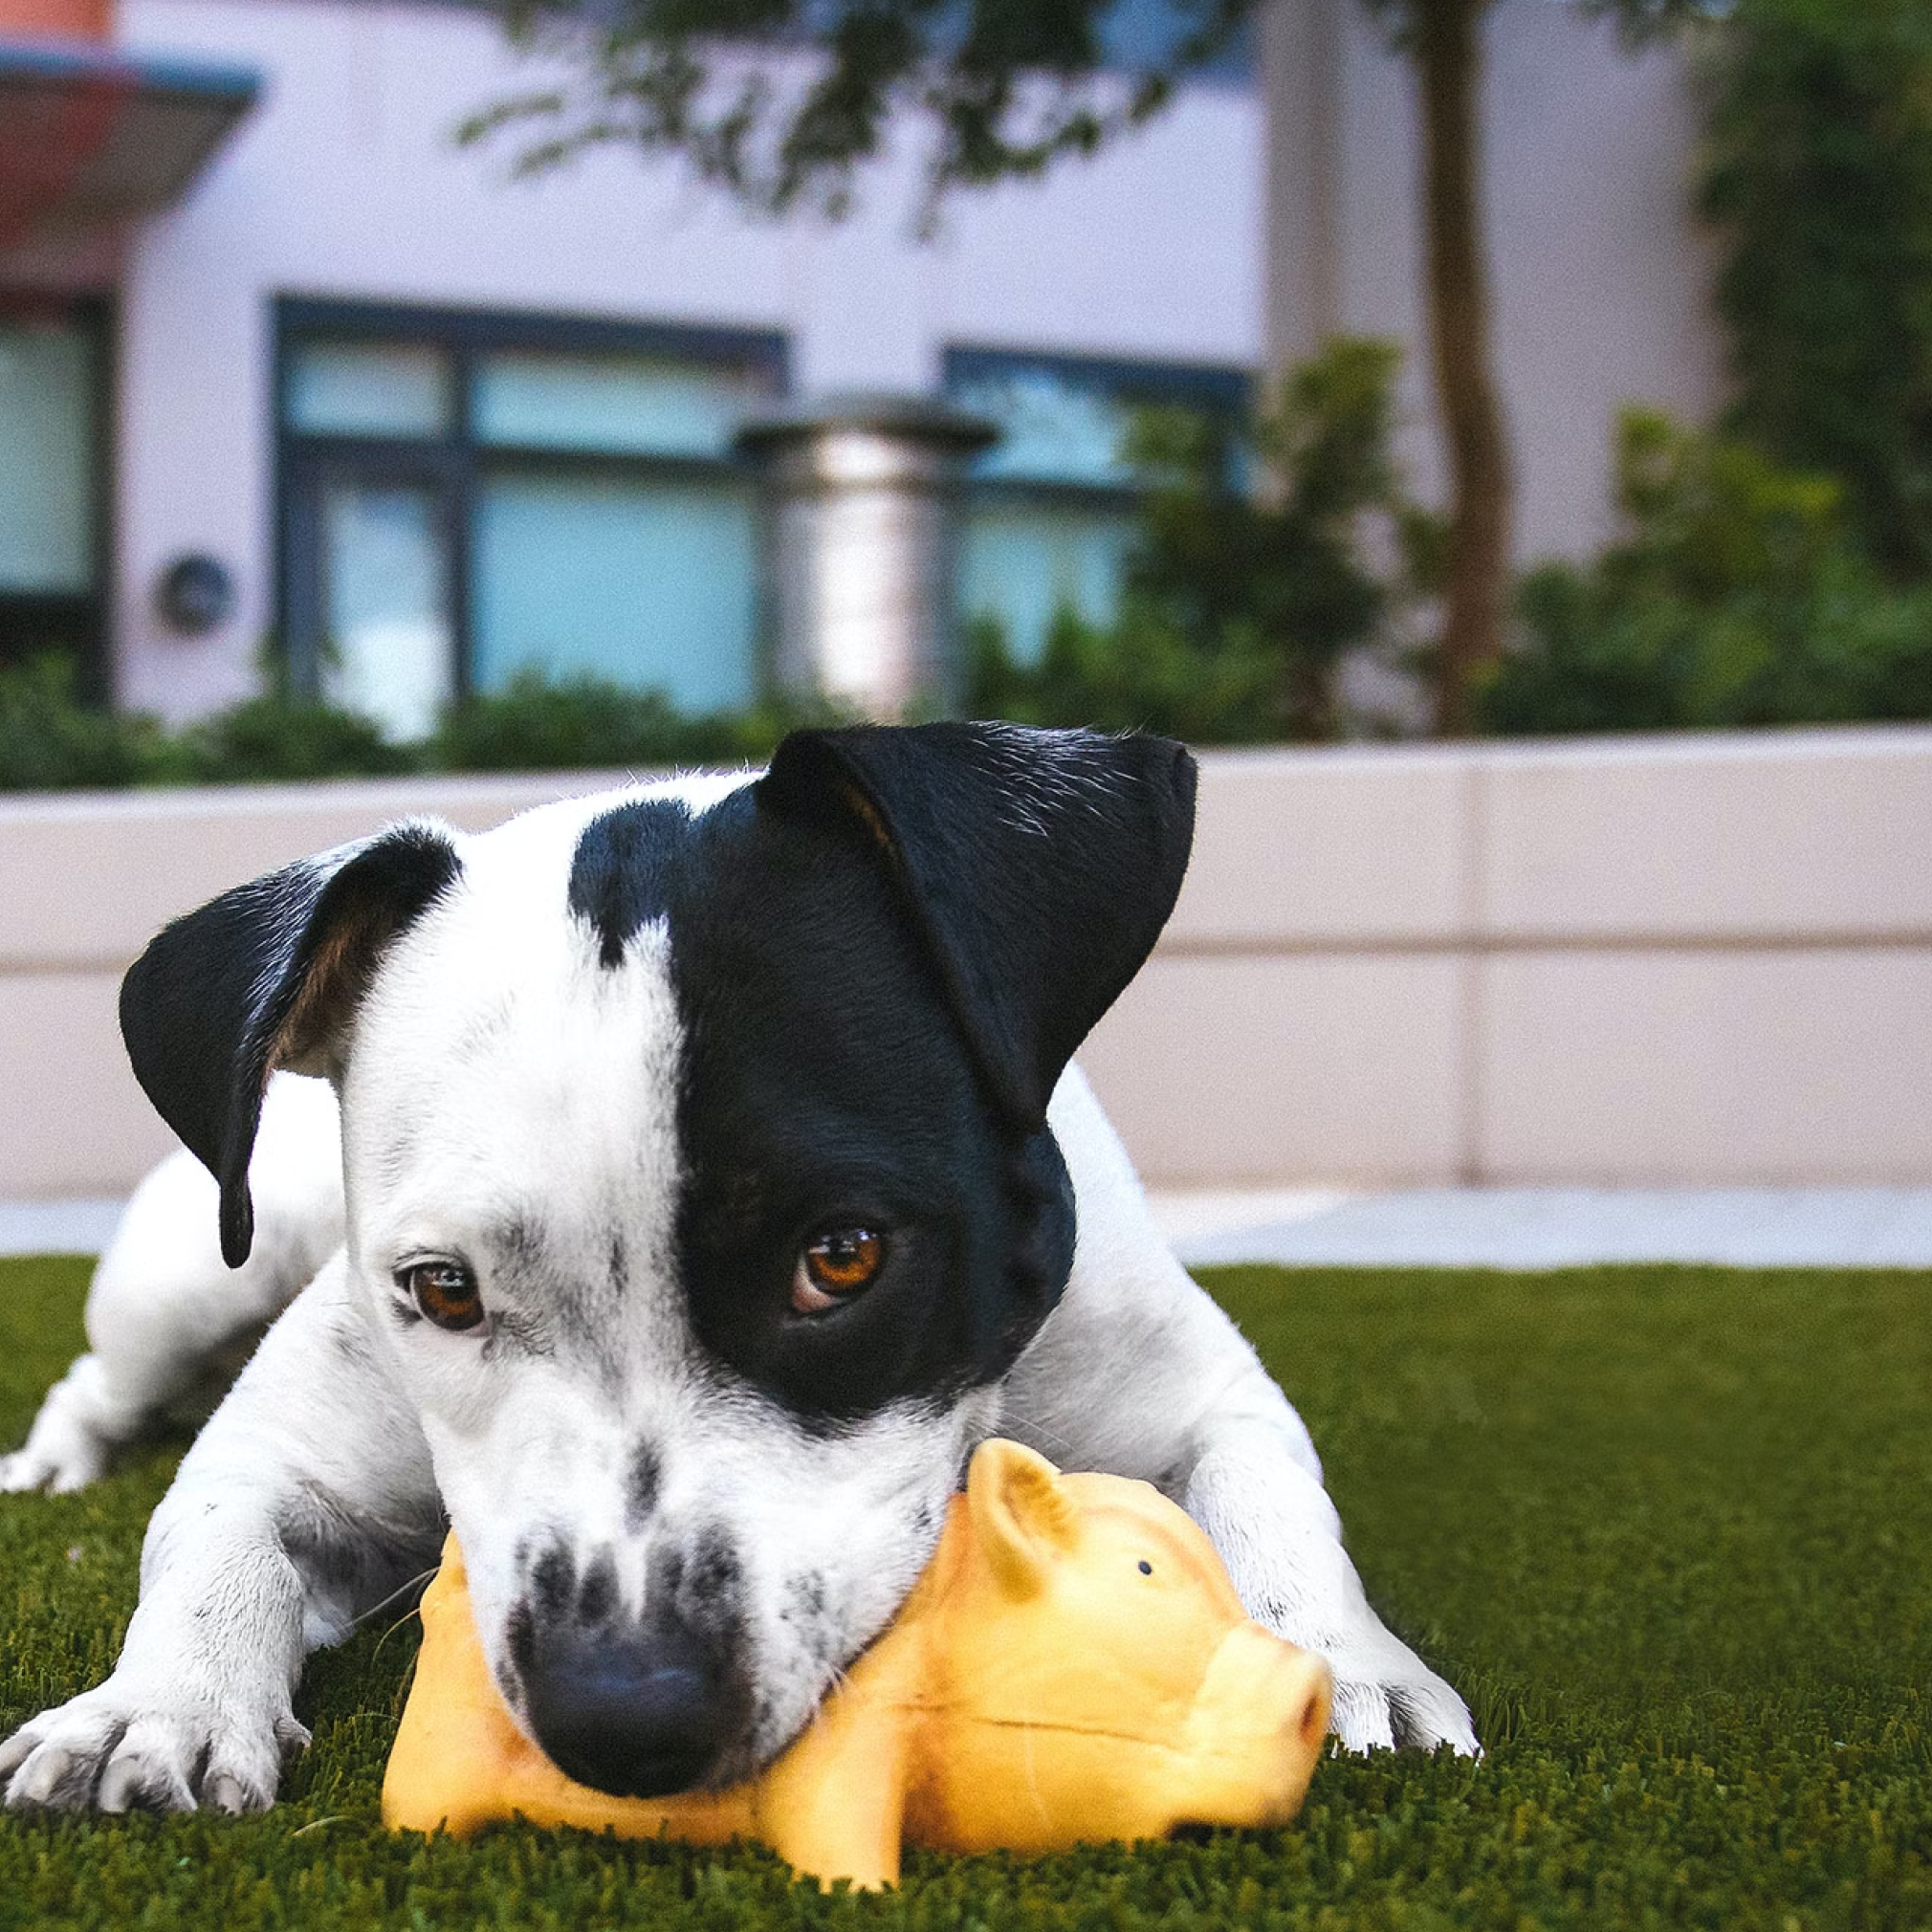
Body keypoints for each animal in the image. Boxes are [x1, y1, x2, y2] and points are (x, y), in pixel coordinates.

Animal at [3, 722, 1476, 1808]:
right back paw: (56, 1465)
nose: (622, 1714)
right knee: (100, 1378)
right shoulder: (281, 1454)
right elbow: (216, 1542)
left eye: (843, 1257)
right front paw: (154, 1706)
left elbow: (1270, 1501)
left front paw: (1334, 1658)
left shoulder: (1201, 1393)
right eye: (443, 1289)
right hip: (189, 1277)